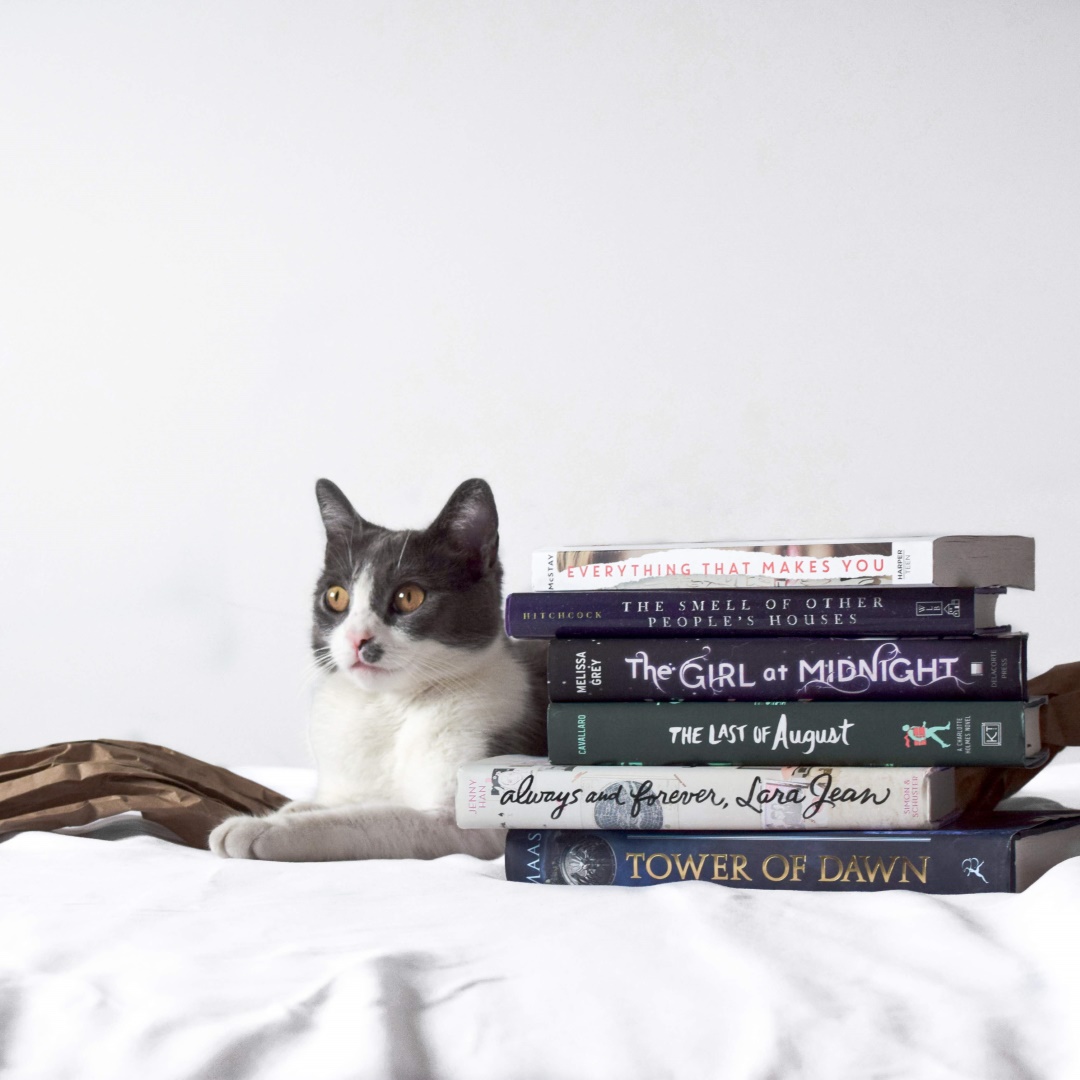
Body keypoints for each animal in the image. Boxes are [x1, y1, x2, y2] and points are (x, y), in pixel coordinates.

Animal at [210, 481, 548, 859]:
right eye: (336, 596)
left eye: (409, 596)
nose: (358, 638)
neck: (385, 707)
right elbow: (331, 802)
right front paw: (289, 810)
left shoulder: (473, 821)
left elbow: (373, 819)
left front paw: (259, 827)